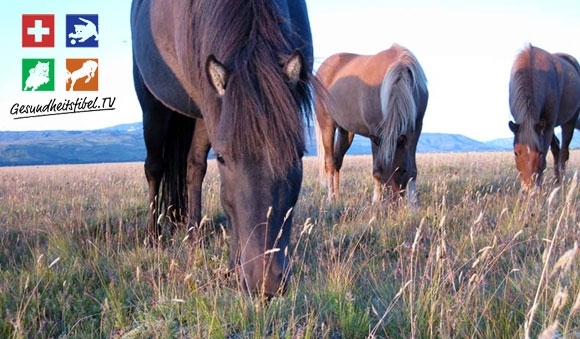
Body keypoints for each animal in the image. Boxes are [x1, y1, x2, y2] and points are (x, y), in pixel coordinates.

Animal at [131, 0, 314, 298]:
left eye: (298, 154)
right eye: (223, 158)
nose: (266, 282)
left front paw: (232, 268)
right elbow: (228, 199)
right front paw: (235, 269)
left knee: (193, 168)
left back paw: (193, 235)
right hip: (154, 104)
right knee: (154, 168)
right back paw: (153, 236)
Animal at [314, 44, 428, 206]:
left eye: (402, 170)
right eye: (383, 171)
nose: (393, 203)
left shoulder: (416, 128)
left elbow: (413, 169)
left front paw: (413, 205)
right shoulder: (376, 132)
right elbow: (375, 168)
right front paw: (376, 201)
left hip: (345, 131)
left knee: (337, 161)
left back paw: (337, 198)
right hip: (327, 125)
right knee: (330, 163)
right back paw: (330, 199)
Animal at [508, 43, 580, 190]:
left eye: (539, 153)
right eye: (516, 153)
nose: (528, 188)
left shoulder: (549, 124)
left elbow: (544, 161)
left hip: (569, 120)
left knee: (564, 152)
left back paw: (561, 183)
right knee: (556, 148)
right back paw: (557, 181)